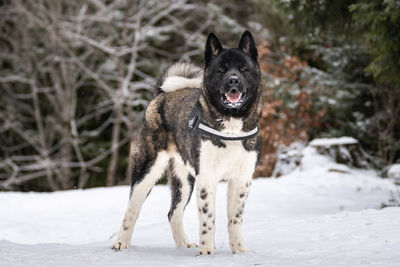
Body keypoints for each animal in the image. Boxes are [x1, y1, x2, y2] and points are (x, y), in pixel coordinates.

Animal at [112, 30, 262, 256]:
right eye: (221, 70)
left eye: (243, 68)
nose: (233, 81)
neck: (231, 125)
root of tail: (162, 94)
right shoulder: (207, 178)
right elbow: (209, 219)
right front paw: (207, 252)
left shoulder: (241, 179)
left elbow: (235, 219)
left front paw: (240, 250)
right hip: (146, 172)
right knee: (131, 210)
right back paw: (121, 243)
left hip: (184, 180)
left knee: (173, 213)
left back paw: (183, 244)